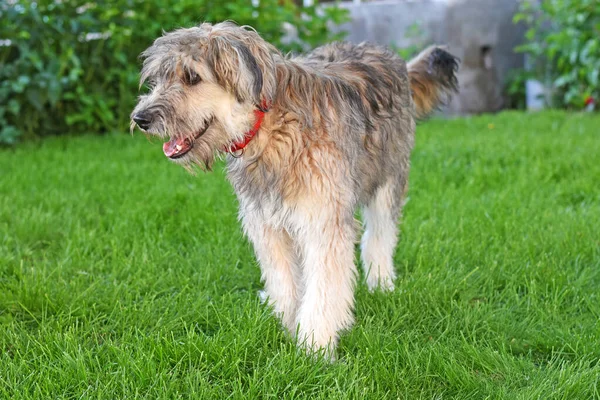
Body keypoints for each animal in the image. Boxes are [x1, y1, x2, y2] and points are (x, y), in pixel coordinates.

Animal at [132, 21, 460, 358]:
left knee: (380, 235)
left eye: (192, 77)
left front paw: (315, 346)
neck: (270, 127)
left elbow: (324, 289)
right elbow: (284, 279)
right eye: (159, 78)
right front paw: (286, 324)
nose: (140, 119)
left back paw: (382, 284)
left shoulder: (323, 220)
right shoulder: (266, 224)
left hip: (388, 176)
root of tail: (386, 55)